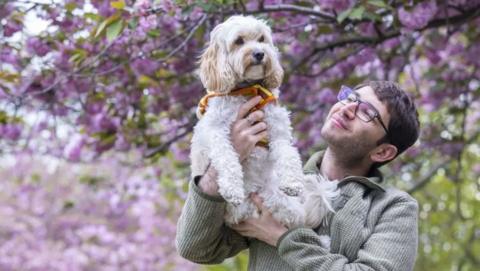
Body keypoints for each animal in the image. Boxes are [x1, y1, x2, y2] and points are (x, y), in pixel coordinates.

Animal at [189, 15, 336, 232]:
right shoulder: (216, 131)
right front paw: (232, 188)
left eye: (261, 39)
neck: (248, 90)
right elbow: (226, 157)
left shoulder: (278, 129)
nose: (259, 53)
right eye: (239, 41)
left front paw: (293, 182)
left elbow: (288, 153)